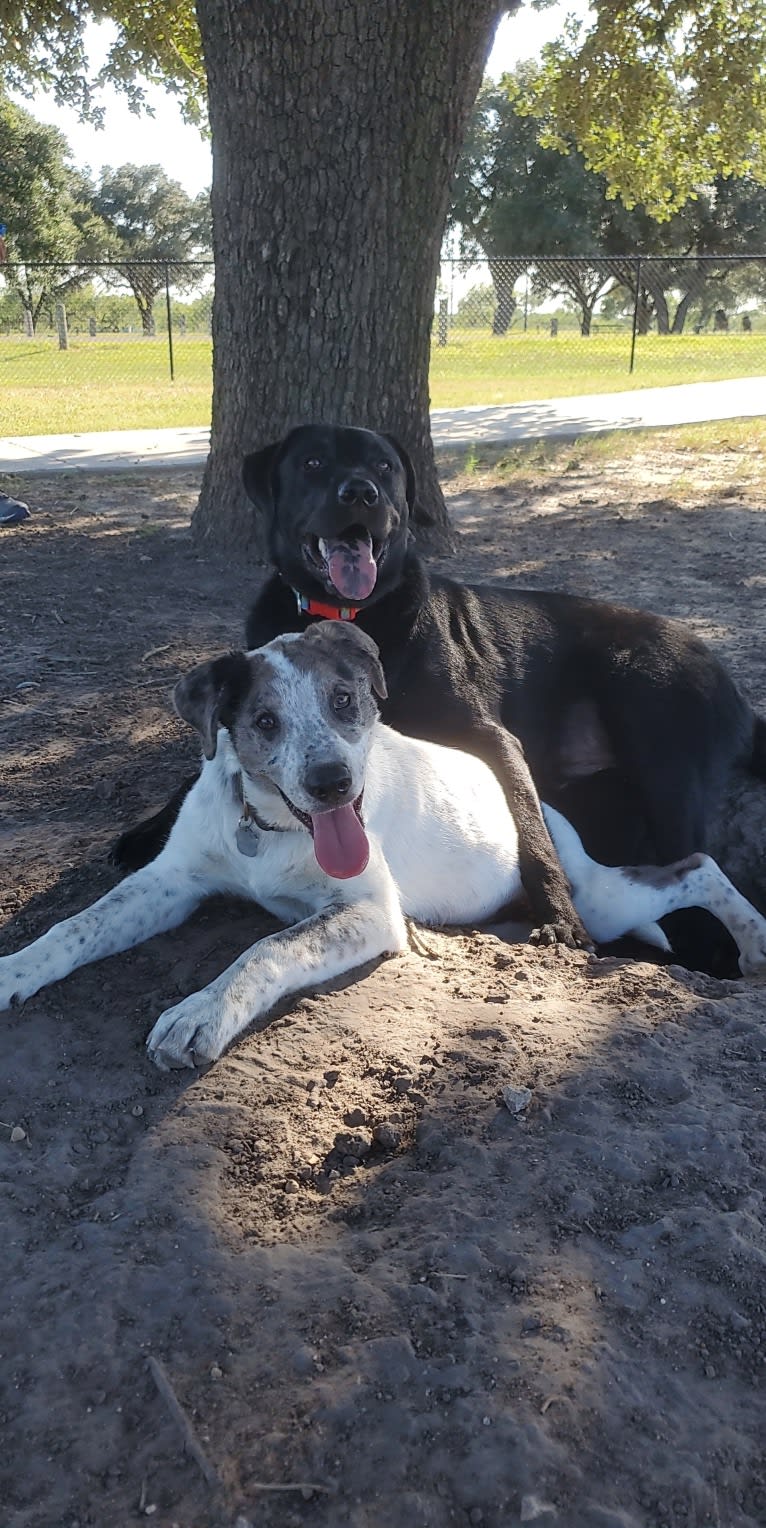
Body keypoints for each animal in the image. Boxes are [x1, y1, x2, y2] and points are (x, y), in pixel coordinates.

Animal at [4, 620, 764, 1075]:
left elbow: (264, 949)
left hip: (596, 900)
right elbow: (75, 927)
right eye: (265, 722)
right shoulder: (171, 881)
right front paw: (14, 968)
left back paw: (753, 942)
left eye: (345, 701)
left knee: (697, 865)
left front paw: (202, 1012)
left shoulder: (368, 911)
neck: (269, 832)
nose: (333, 783)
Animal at [113, 424, 764, 959]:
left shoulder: (493, 739)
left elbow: (528, 824)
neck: (353, 614)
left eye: (385, 468)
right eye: (314, 463)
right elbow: (197, 771)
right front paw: (146, 831)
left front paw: (559, 913)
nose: (361, 494)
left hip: (660, 745)